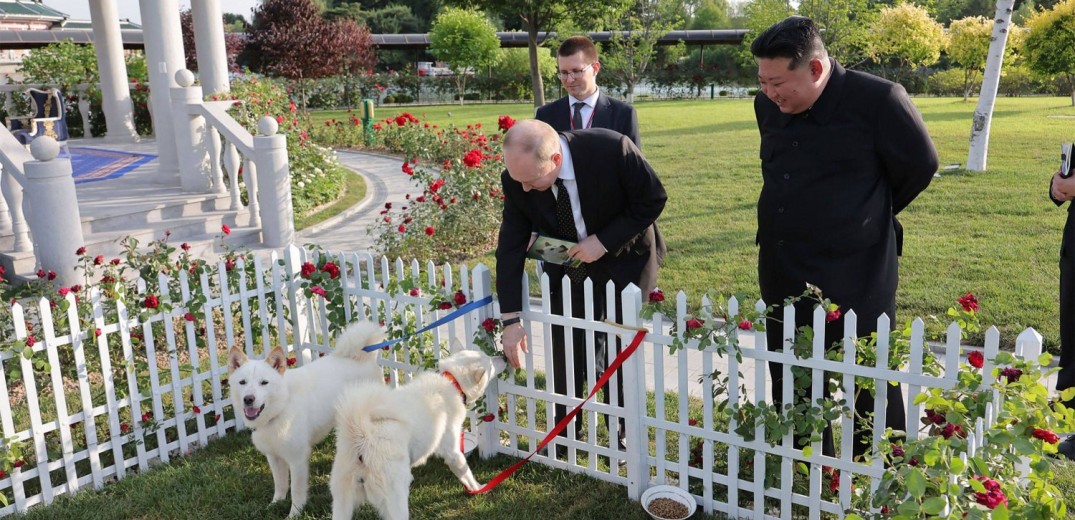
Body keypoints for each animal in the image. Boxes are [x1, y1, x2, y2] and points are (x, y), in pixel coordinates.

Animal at [224, 320, 384, 515]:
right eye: (242, 382)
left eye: (264, 383)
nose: (248, 399)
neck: (282, 406)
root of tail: (363, 356)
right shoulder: (274, 457)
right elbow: (280, 484)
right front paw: (275, 504)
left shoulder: (297, 460)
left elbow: (296, 491)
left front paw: (294, 513)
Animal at [328, 350, 505, 520]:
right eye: (490, 362)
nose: (503, 357)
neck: (452, 381)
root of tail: (361, 435)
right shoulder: (453, 452)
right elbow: (466, 473)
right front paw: (478, 488)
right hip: (395, 499)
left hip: (342, 501)